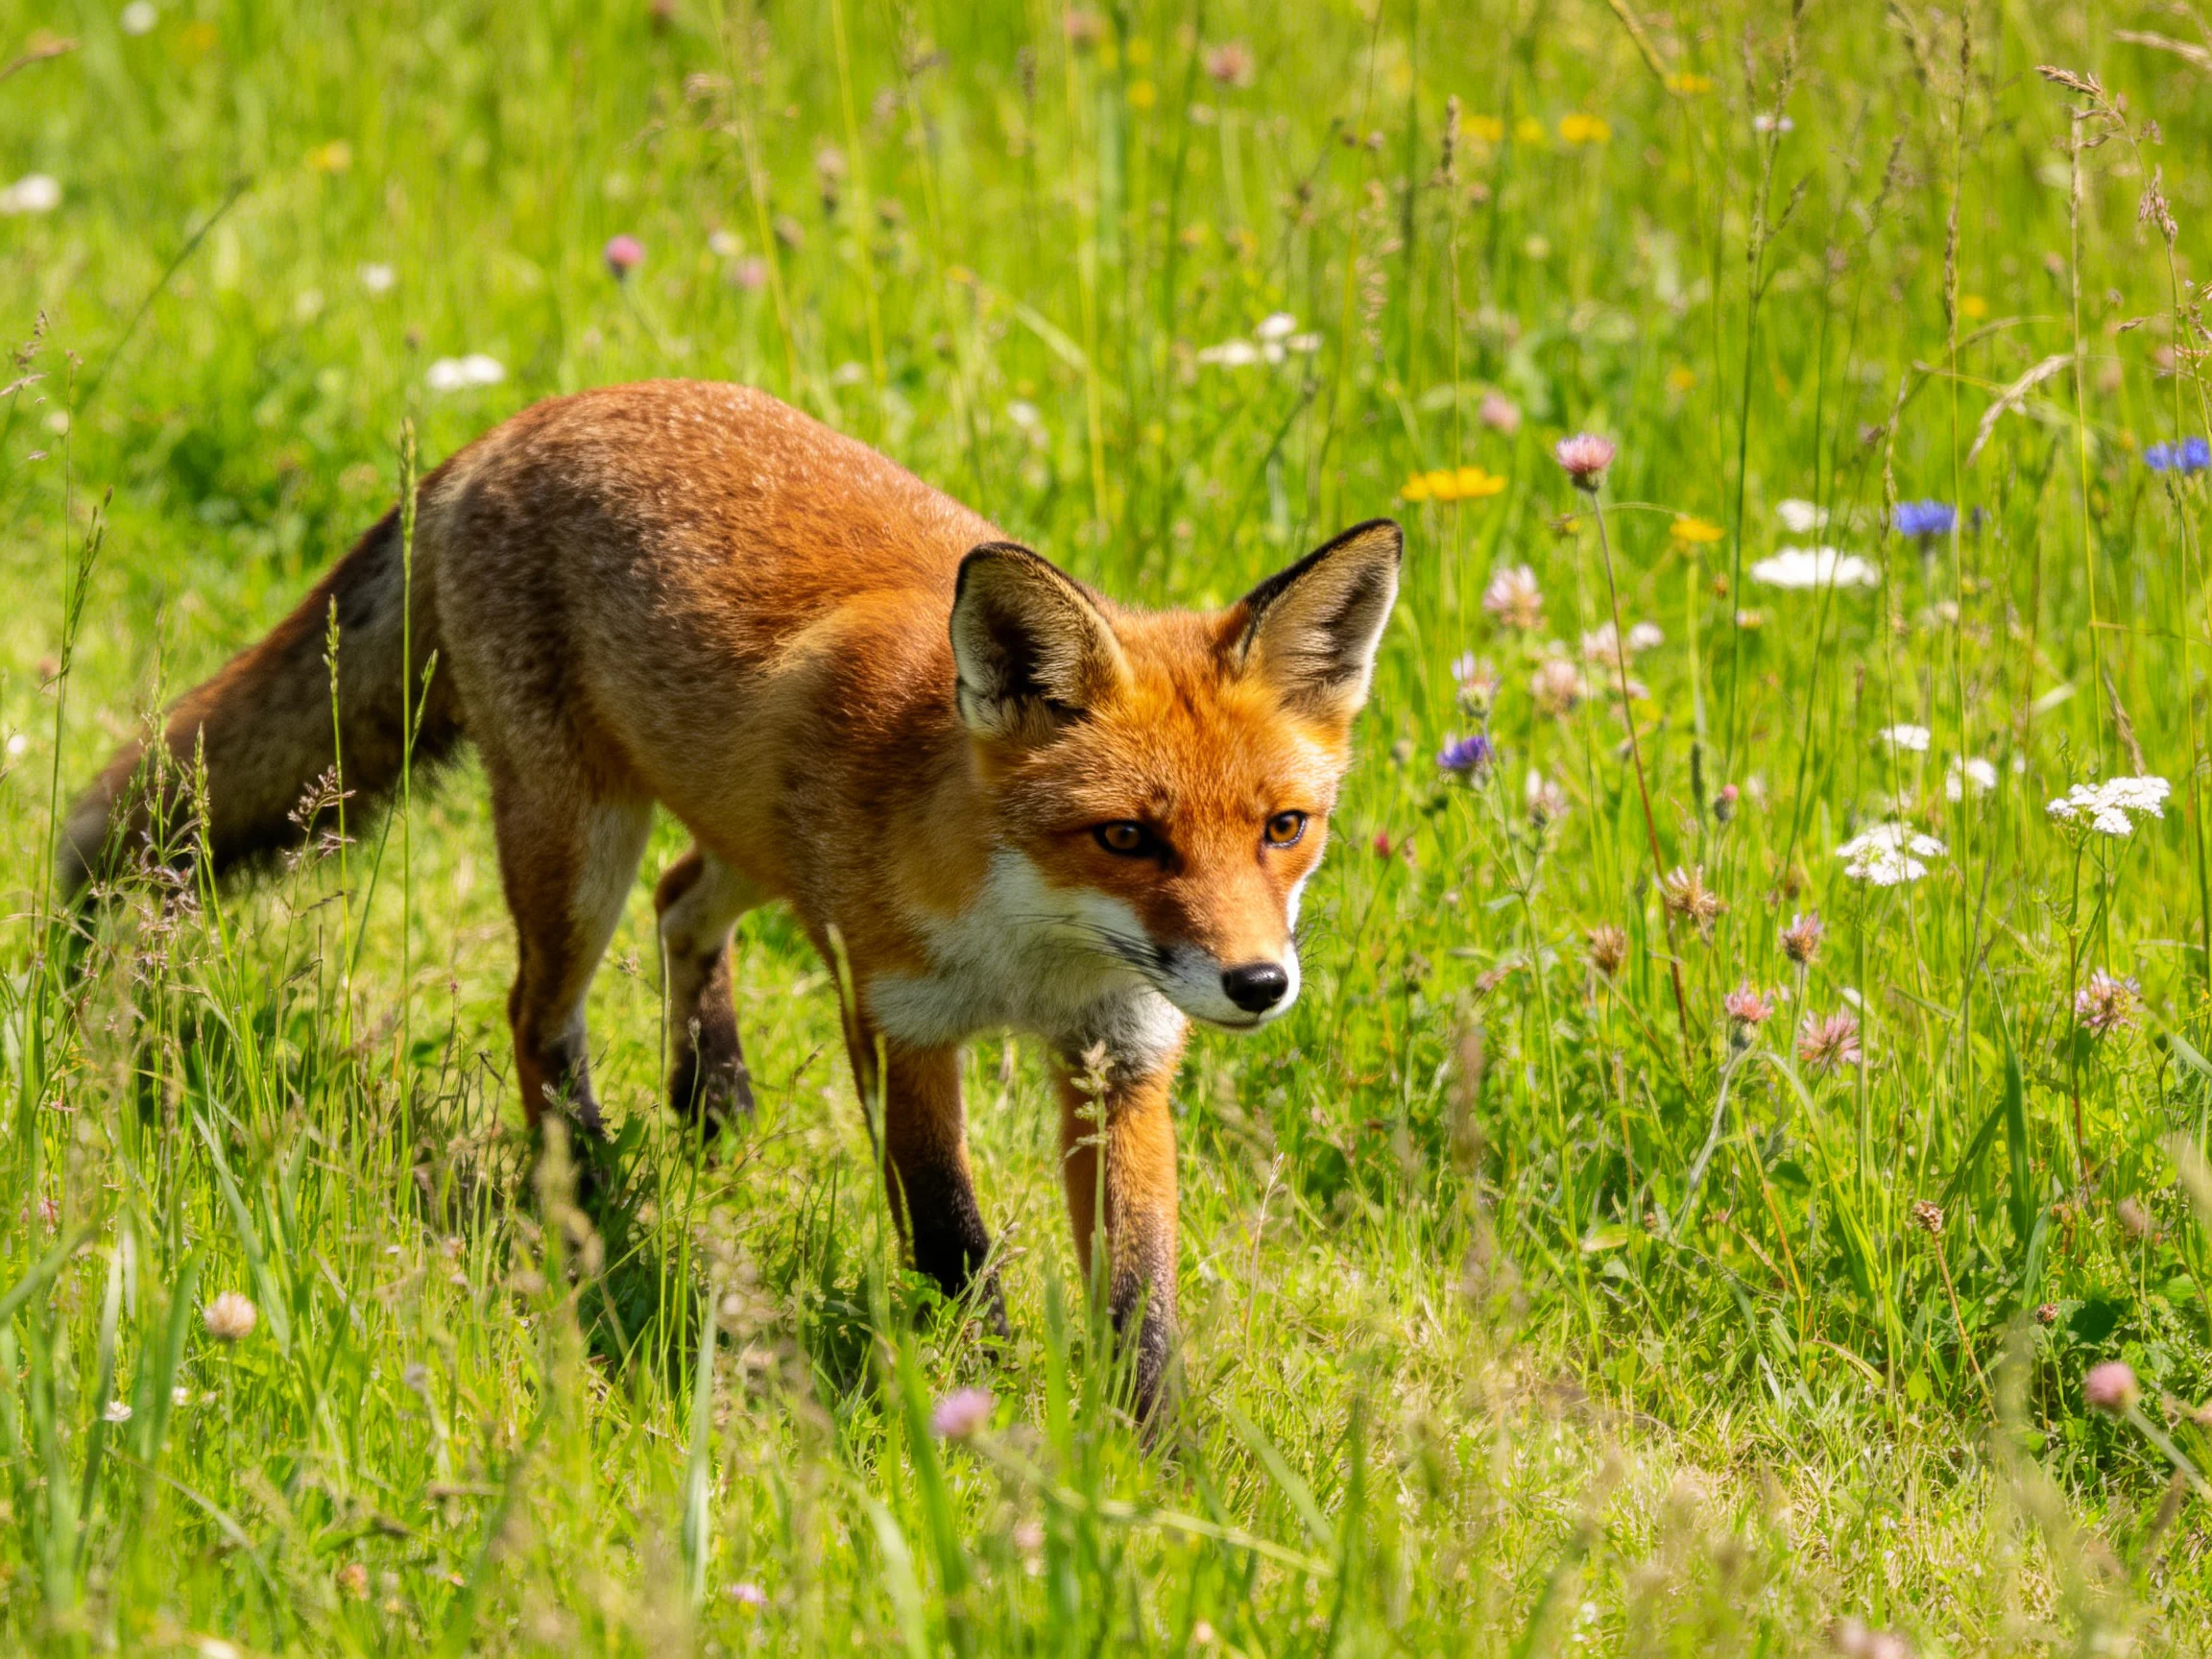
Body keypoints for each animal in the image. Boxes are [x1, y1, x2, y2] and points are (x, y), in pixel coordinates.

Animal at [61, 380, 1401, 1414]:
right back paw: (591, 1183)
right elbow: (949, 1233)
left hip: (745, 837)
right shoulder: (897, 1023)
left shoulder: (1119, 1052)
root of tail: (527, 417)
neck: (1031, 952)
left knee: (679, 902)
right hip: (578, 847)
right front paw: (988, 1398)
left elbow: (1140, 1292)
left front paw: (1155, 1458)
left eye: (1284, 830)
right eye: (1126, 837)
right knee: (536, 1010)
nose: (1259, 984)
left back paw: (711, 1100)